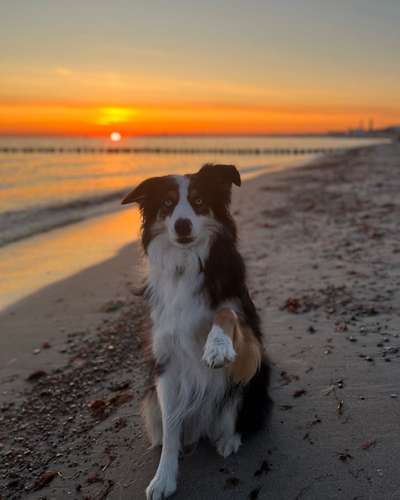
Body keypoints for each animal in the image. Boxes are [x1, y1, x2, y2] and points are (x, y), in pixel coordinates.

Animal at [122, 163, 272, 496]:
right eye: (167, 204)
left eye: (199, 201)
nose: (182, 225)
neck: (186, 261)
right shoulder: (165, 361)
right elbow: (170, 427)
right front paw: (163, 478)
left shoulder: (252, 341)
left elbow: (226, 312)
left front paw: (217, 347)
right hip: (149, 399)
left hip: (254, 380)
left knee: (239, 418)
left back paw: (228, 440)